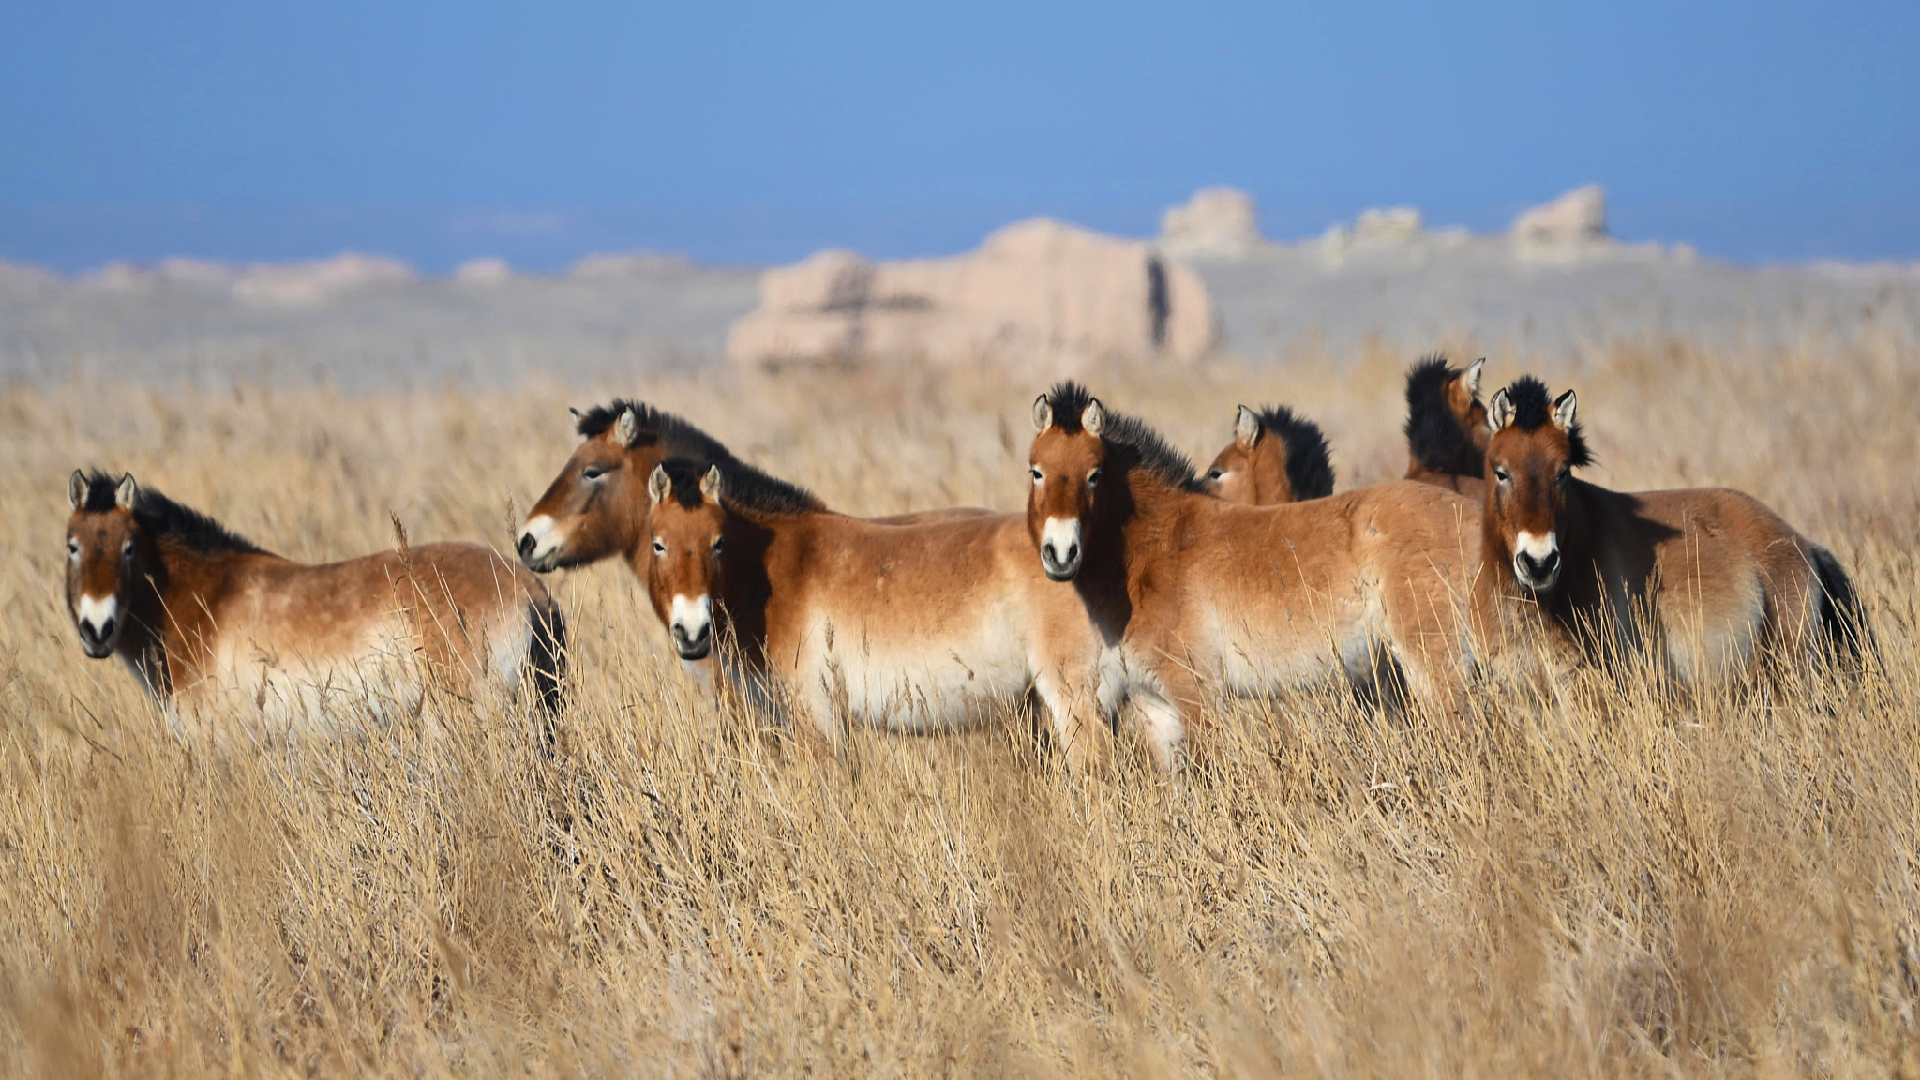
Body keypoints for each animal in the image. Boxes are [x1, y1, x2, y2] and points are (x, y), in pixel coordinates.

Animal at [633, 458, 1114, 766]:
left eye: (718, 543)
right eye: (659, 544)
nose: (692, 632)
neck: (778, 570)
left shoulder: (816, 713)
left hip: (1071, 699)